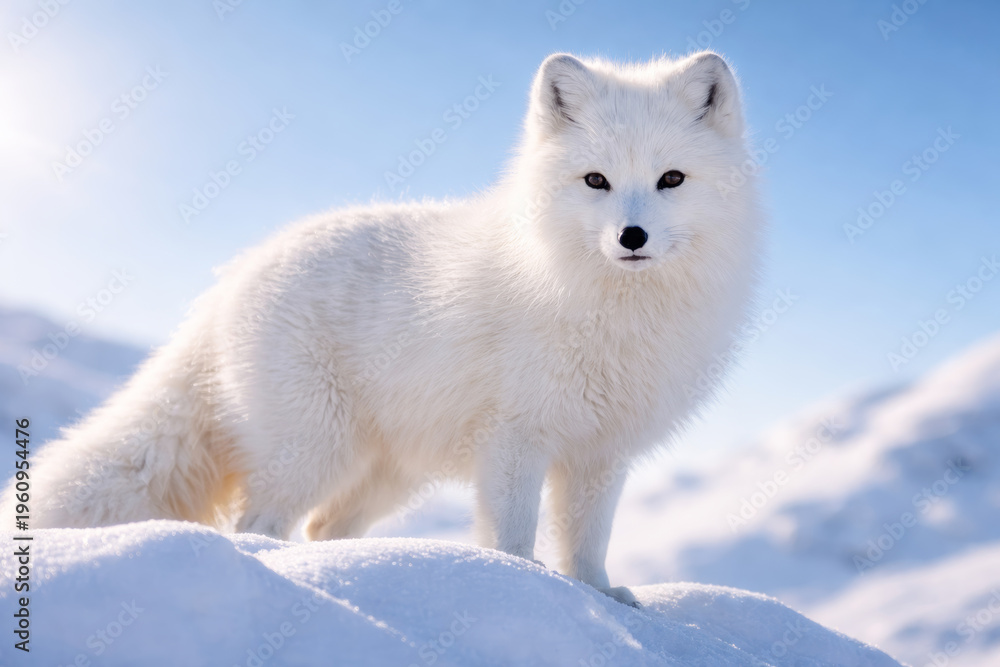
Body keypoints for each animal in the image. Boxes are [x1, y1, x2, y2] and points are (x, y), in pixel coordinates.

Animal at [16, 51, 762, 606]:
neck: (612, 308)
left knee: (324, 527)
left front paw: (601, 597)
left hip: (386, 472)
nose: (631, 237)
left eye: (672, 179)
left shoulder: (602, 452)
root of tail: (232, 276)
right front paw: (523, 588)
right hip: (315, 449)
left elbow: (588, 541)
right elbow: (514, 536)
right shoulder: (515, 436)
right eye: (596, 181)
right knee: (259, 523)